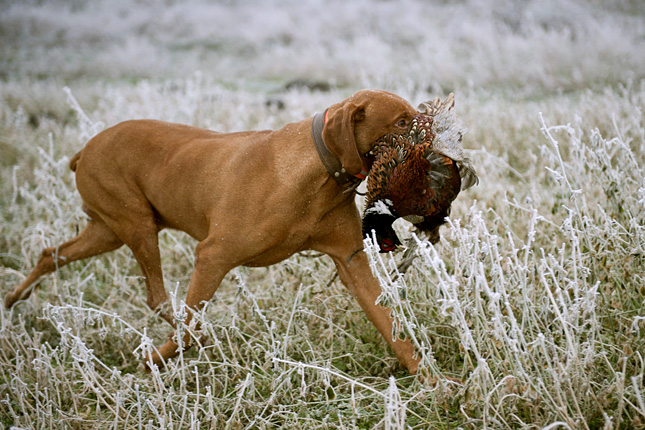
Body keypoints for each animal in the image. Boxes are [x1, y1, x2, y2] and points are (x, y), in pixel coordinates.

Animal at [6, 90, 422, 372]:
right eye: (402, 122)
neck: (316, 175)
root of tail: (86, 149)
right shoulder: (212, 255)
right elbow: (190, 325)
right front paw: (154, 361)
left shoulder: (351, 261)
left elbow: (391, 326)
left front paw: (428, 381)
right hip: (136, 226)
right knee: (160, 300)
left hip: (107, 232)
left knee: (50, 254)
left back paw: (13, 300)